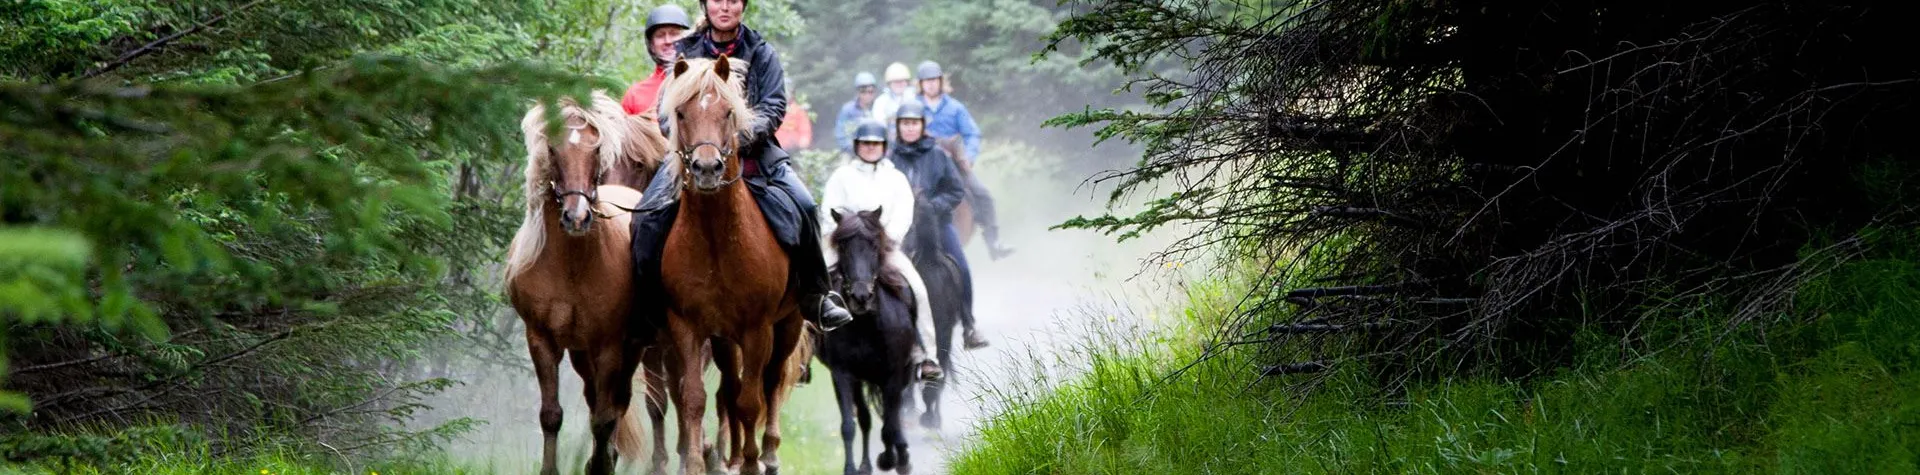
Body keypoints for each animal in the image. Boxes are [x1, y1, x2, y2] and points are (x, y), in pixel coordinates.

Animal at [506, 90, 672, 473]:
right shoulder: (541, 340)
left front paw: (600, 464)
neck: (571, 265)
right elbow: (551, 415)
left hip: (635, 346)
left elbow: (604, 418)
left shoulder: (609, 345)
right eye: (552, 150)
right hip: (583, 353)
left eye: (595, 150)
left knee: (619, 403)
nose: (576, 217)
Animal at [660, 56, 810, 475]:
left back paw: (768, 454)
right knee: (730, 386)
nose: (707, 169)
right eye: (680, 113)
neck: (716, 242)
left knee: (769, 382)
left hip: (787, 323)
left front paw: (751, 463)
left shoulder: (758, 328)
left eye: (728, 112)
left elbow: (750, 400)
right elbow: (695, 397)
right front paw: (696, 463)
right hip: (724, 337)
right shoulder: (687, 326)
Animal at [817, 208, 921, 475]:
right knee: (865, 417)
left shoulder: (893, 374)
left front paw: (891, 459)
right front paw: (851, 468)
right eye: (843, 246)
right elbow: (849, 424)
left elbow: (890, 422)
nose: (861, 296)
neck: (866, 325)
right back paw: (866, 464)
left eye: (874, 245)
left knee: (892, 416)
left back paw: (900, 454)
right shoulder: (843, 374)